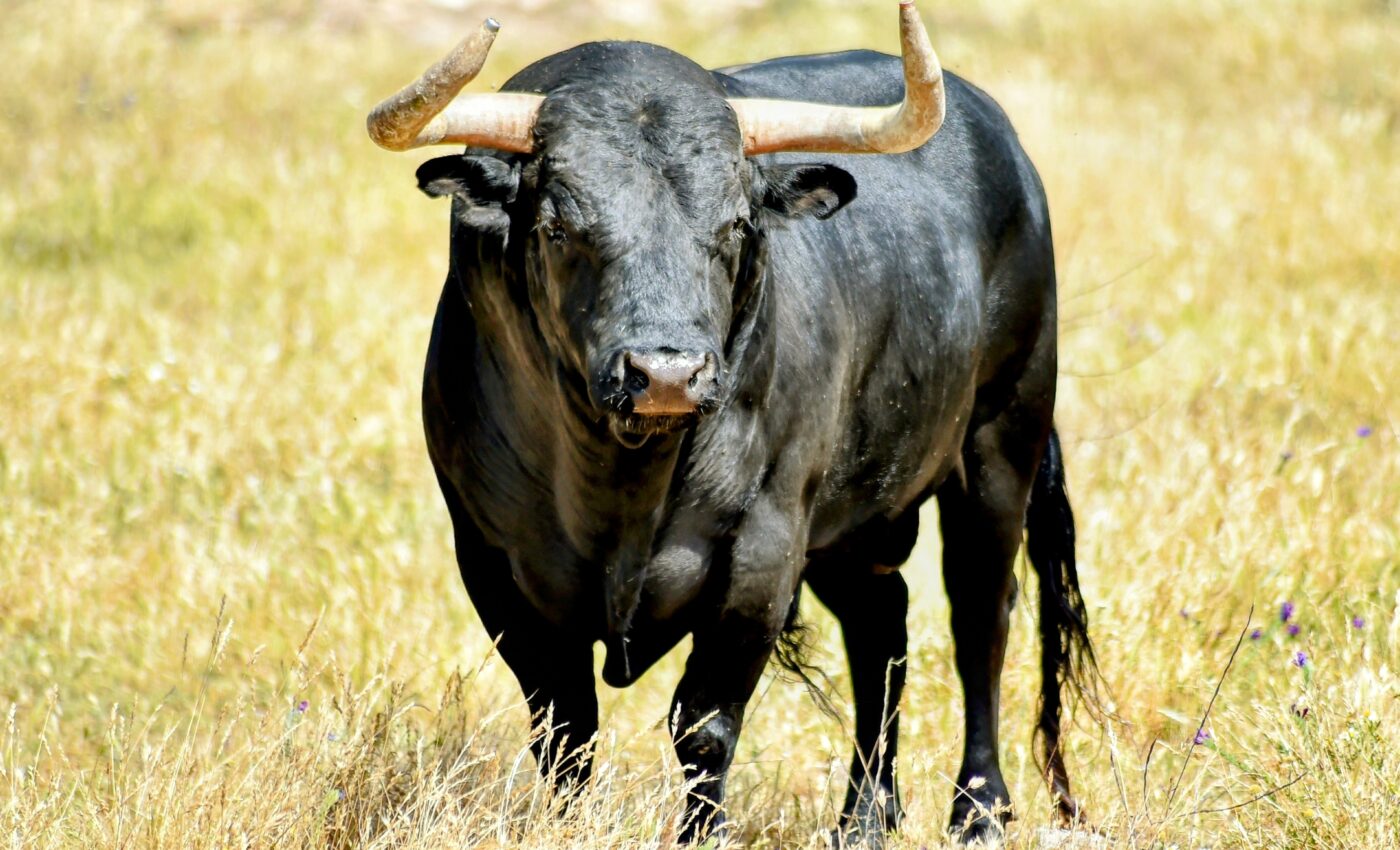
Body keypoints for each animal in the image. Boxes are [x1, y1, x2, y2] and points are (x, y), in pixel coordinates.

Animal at [366, 2, 1096, 845]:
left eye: (738, 226)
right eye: (557, 229)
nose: (666, 374)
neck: (621, 489)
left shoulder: (762, 553)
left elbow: (704, 723)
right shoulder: (491, 559)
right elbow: (564, 726)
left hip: (1001, 443)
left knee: (981, 615)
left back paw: (977, 810)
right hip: (856, 512)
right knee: (882, 624)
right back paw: (864, 817)